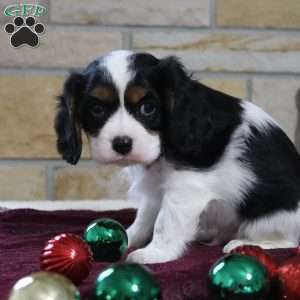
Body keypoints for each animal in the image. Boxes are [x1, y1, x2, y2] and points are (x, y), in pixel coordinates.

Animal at [55, 50, 300, 264]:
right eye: (96, 110)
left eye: (148, 108)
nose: (122, 143)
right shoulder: (155, 190)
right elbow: (145, 217)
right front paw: (128, 237)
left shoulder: (186, 188)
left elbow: (166, 222)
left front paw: (155, 253)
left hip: (268, 220)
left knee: (288, 241)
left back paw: (245, 243)